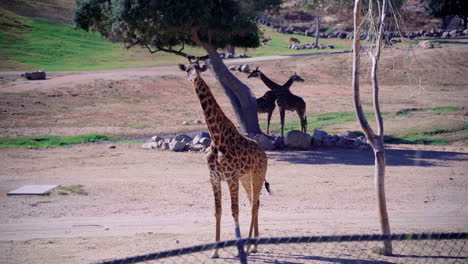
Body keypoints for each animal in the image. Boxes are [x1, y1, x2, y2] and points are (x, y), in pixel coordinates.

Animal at [177, 60, 268, 258]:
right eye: (187, 69)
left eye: (199, 68)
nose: (194, 77)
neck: (217, 138)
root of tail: (264, 153)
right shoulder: (214, 177)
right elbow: (217, 211)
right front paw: (215, 250)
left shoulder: (231, 177)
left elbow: (235, 211)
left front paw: (239, 249)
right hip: (246, 178)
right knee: (255, 202)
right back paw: (254, 245)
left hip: (257, 175)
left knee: (253, 205)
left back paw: (249, 246)